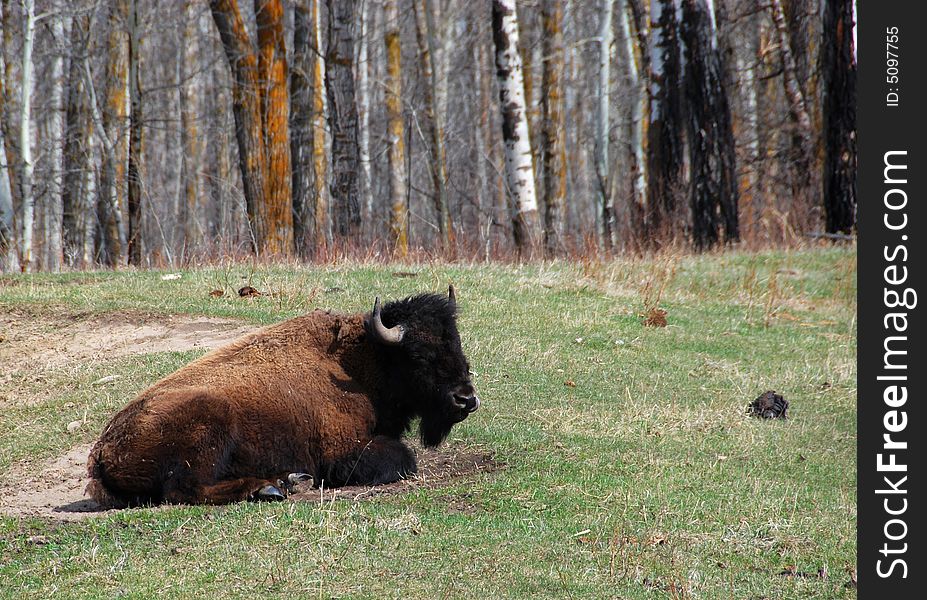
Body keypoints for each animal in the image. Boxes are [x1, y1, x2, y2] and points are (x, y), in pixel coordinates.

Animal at [83, 286, 482, 506]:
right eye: (419, 355)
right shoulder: (343, 450)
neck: (362, 359)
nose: (466, 399)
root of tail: (101, 453)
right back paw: (269, 488)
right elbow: (403, 458)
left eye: (456, 342)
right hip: (211, 421)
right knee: (184, 490)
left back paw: (288, 480)